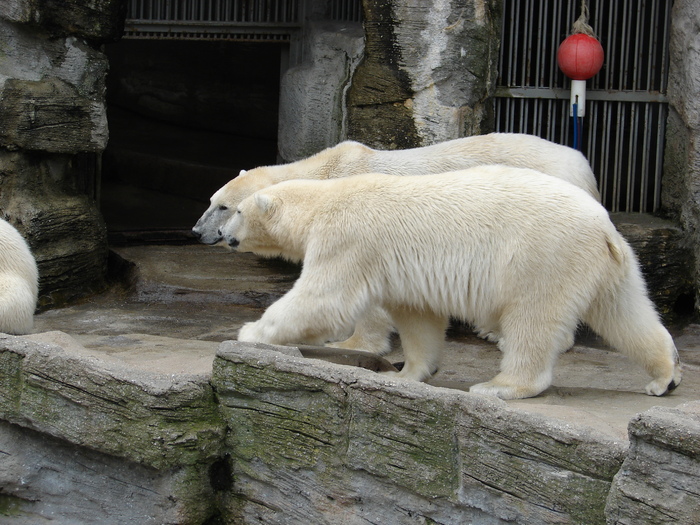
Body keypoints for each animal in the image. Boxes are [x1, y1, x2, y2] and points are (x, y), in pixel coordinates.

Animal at [222, 166, 681, 400]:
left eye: (236, 210)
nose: (224, 235)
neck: (324, 200)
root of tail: (604, 226)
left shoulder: (349, 239)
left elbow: (323, 298)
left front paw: (250, 332)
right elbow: (418, 318)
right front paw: (406, 374)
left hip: (543, 256)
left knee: (533, 319)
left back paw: (501, 386)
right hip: (607, 265)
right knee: (625, 314)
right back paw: (665, 375)